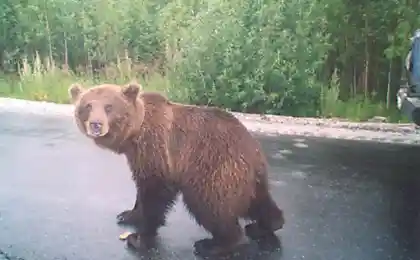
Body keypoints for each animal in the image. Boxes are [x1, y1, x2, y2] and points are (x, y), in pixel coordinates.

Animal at [68, 82, 286, 256]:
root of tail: (254, 150)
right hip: (246, 177)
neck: (134, 135)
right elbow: (141, 187)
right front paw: (128, 214)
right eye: (88, 105)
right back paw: (263, 226)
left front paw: (138, 238)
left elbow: (156, 192)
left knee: (209, 205)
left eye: (109, 107)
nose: (96, 124)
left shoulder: (158, 150)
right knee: (258, 201)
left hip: (214, 169)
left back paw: (213, 244)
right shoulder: (139, 158)